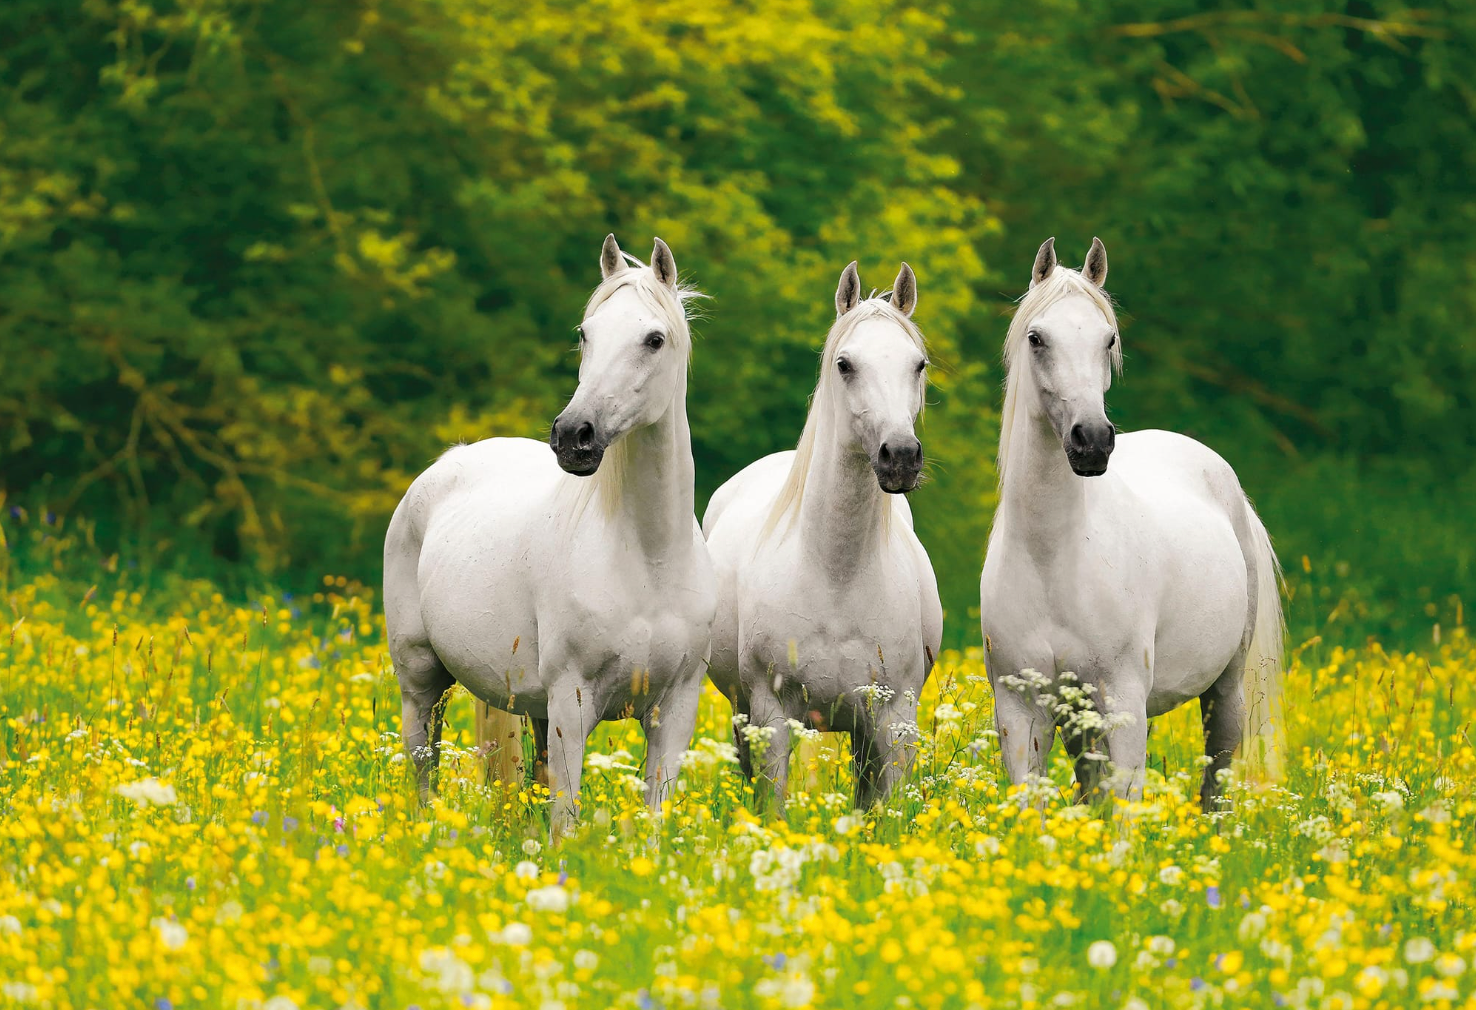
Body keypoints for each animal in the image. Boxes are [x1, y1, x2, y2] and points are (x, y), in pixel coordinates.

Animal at [384, 235, 717, 838]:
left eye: (654, 339)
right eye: (586, 333)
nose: (573, 436)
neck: (649, 560)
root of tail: (448, 463)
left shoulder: (675, 710)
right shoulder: (572, 703)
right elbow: (566, 819)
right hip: (421, 679)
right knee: (424, 765)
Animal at [703, 261, 942, 810]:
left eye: (918, 364)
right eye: (845, 364)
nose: (900, 456)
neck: (836, 574)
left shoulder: (893, 720)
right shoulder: (771, 716)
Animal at [979, 237, 1284, 808]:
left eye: (1109, 338)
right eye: (1037, 338)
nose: (1093, 441)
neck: (1053, 558)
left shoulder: (1121, 703)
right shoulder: (1022, 710)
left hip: (1224, 691)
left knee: (1216, 784)